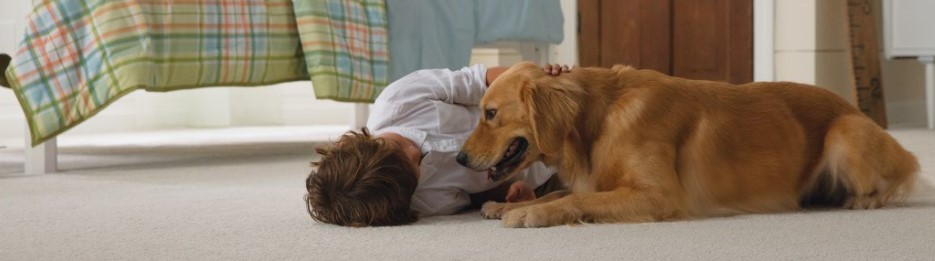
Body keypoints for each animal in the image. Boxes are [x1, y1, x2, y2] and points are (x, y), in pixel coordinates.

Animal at [458, 62, 916, 226]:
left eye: (490, 113)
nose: (460, 158)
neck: (599, 120)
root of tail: (853, 106)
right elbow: (559, 193)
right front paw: (507, 205)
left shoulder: (658, 196)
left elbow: (574, 199)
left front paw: (529, 213)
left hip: (844, 135)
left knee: (905, 175)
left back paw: (862, 200)